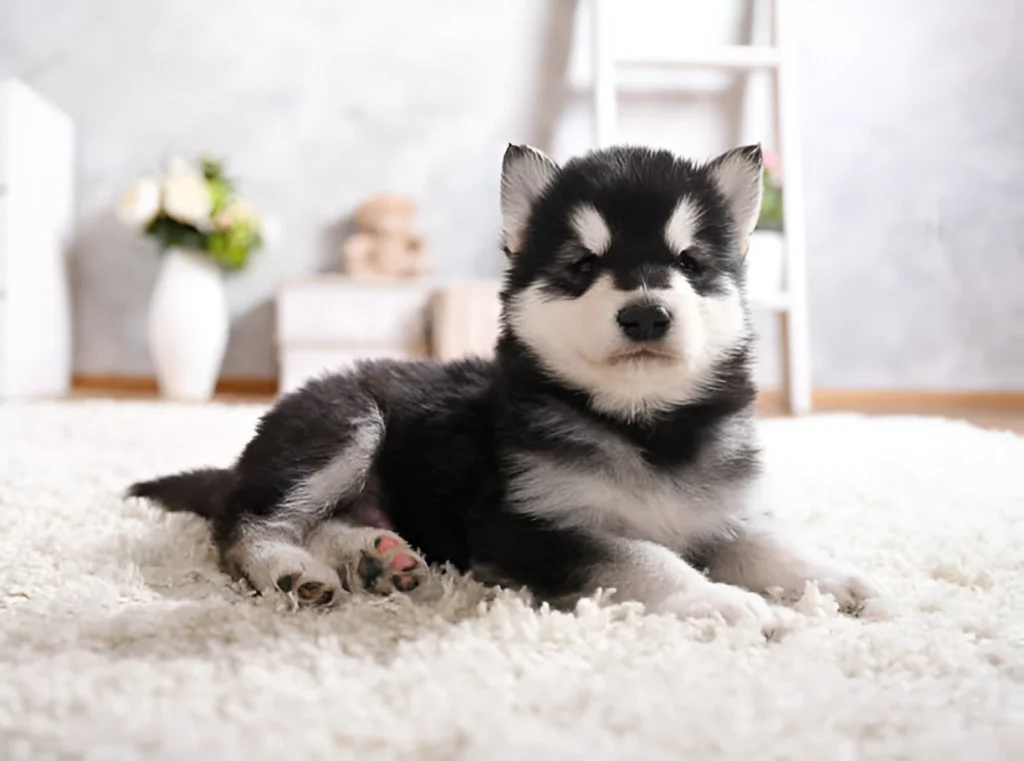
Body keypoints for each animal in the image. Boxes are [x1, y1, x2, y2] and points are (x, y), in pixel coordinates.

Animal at [130, 143, 880, 630]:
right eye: (582, 265)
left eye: (690, 263)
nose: (645, 314)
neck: (642, 424)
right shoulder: (528, 526)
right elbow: (641, 556)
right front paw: (718, 601)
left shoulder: (716, 512)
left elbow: (768, 542)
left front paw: (839, 579)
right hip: (344, 422)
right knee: (244, 526)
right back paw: (292, 569)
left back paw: (375, 559)